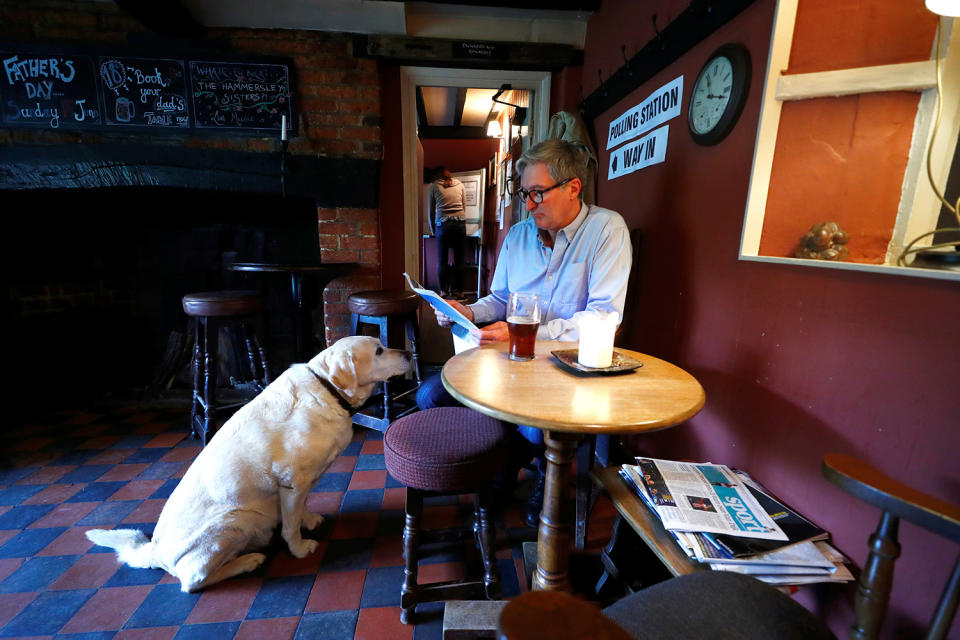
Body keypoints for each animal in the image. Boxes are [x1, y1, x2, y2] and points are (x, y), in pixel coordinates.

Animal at [85, 338, 408, 592]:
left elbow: (299, 511)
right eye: (379, 351)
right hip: (236, 520)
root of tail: (155, 550)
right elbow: (290, 526)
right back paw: (247, 561)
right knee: (192, 581)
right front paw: (299, 548)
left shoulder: (299, 485)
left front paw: (308, 519)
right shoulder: (292, 482)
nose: (406, 352)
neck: (328, 390)